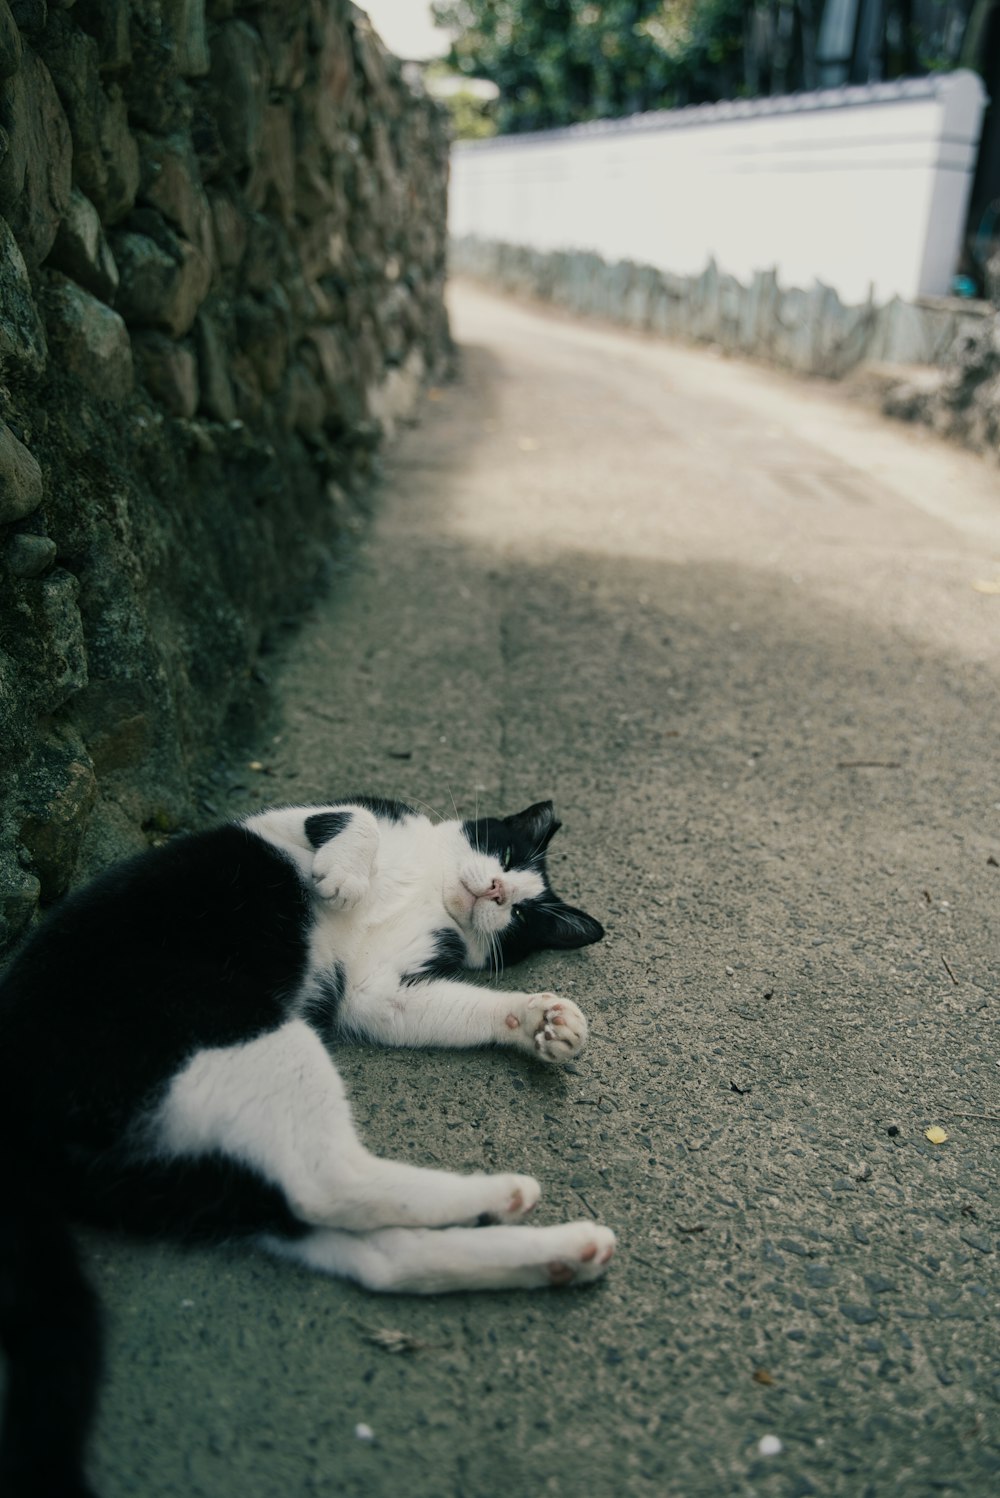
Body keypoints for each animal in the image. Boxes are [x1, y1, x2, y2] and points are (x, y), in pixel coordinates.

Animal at [0, 796, 610, 1498]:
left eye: (524, 914)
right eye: (506, 857)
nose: (495, 890)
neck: (429, 890)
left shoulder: (383, 994)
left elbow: (449, 1006)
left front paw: (542, 1020)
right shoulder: (290, 824)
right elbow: (350, 819)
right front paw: (344, 880)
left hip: (216, 1138)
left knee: (353, 1222)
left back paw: (549, 1236)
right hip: (235, 1033)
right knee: (330, 1191)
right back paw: (512, 1203)